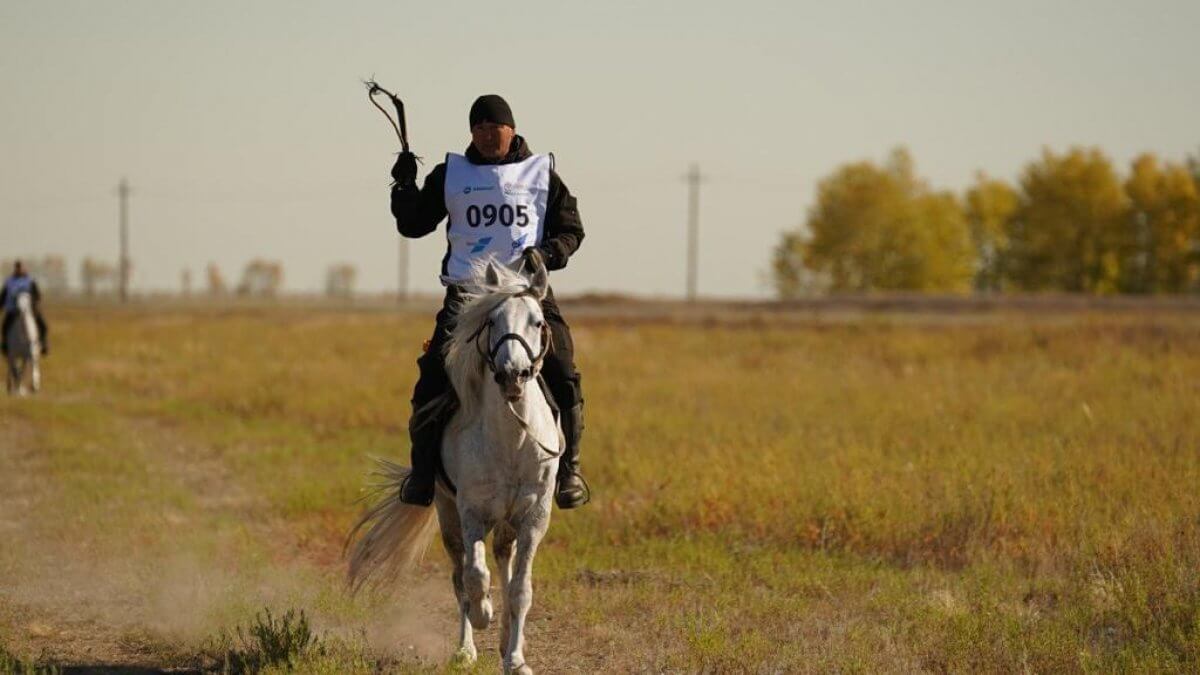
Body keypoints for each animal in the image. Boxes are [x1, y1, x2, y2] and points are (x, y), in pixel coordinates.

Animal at [350, 254, 564, 667]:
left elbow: (520, 589)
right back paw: (466, 649)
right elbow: (474, 576)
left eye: (537, 321)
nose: (512, 374)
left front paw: (516, 660)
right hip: (448, 514)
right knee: (460, 575)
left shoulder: (534, 516)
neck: (512, 439)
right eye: (492, 321)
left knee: (503, 561)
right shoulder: (470, 511)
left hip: (507, 520)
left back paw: (504, 640)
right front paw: (483, 616)